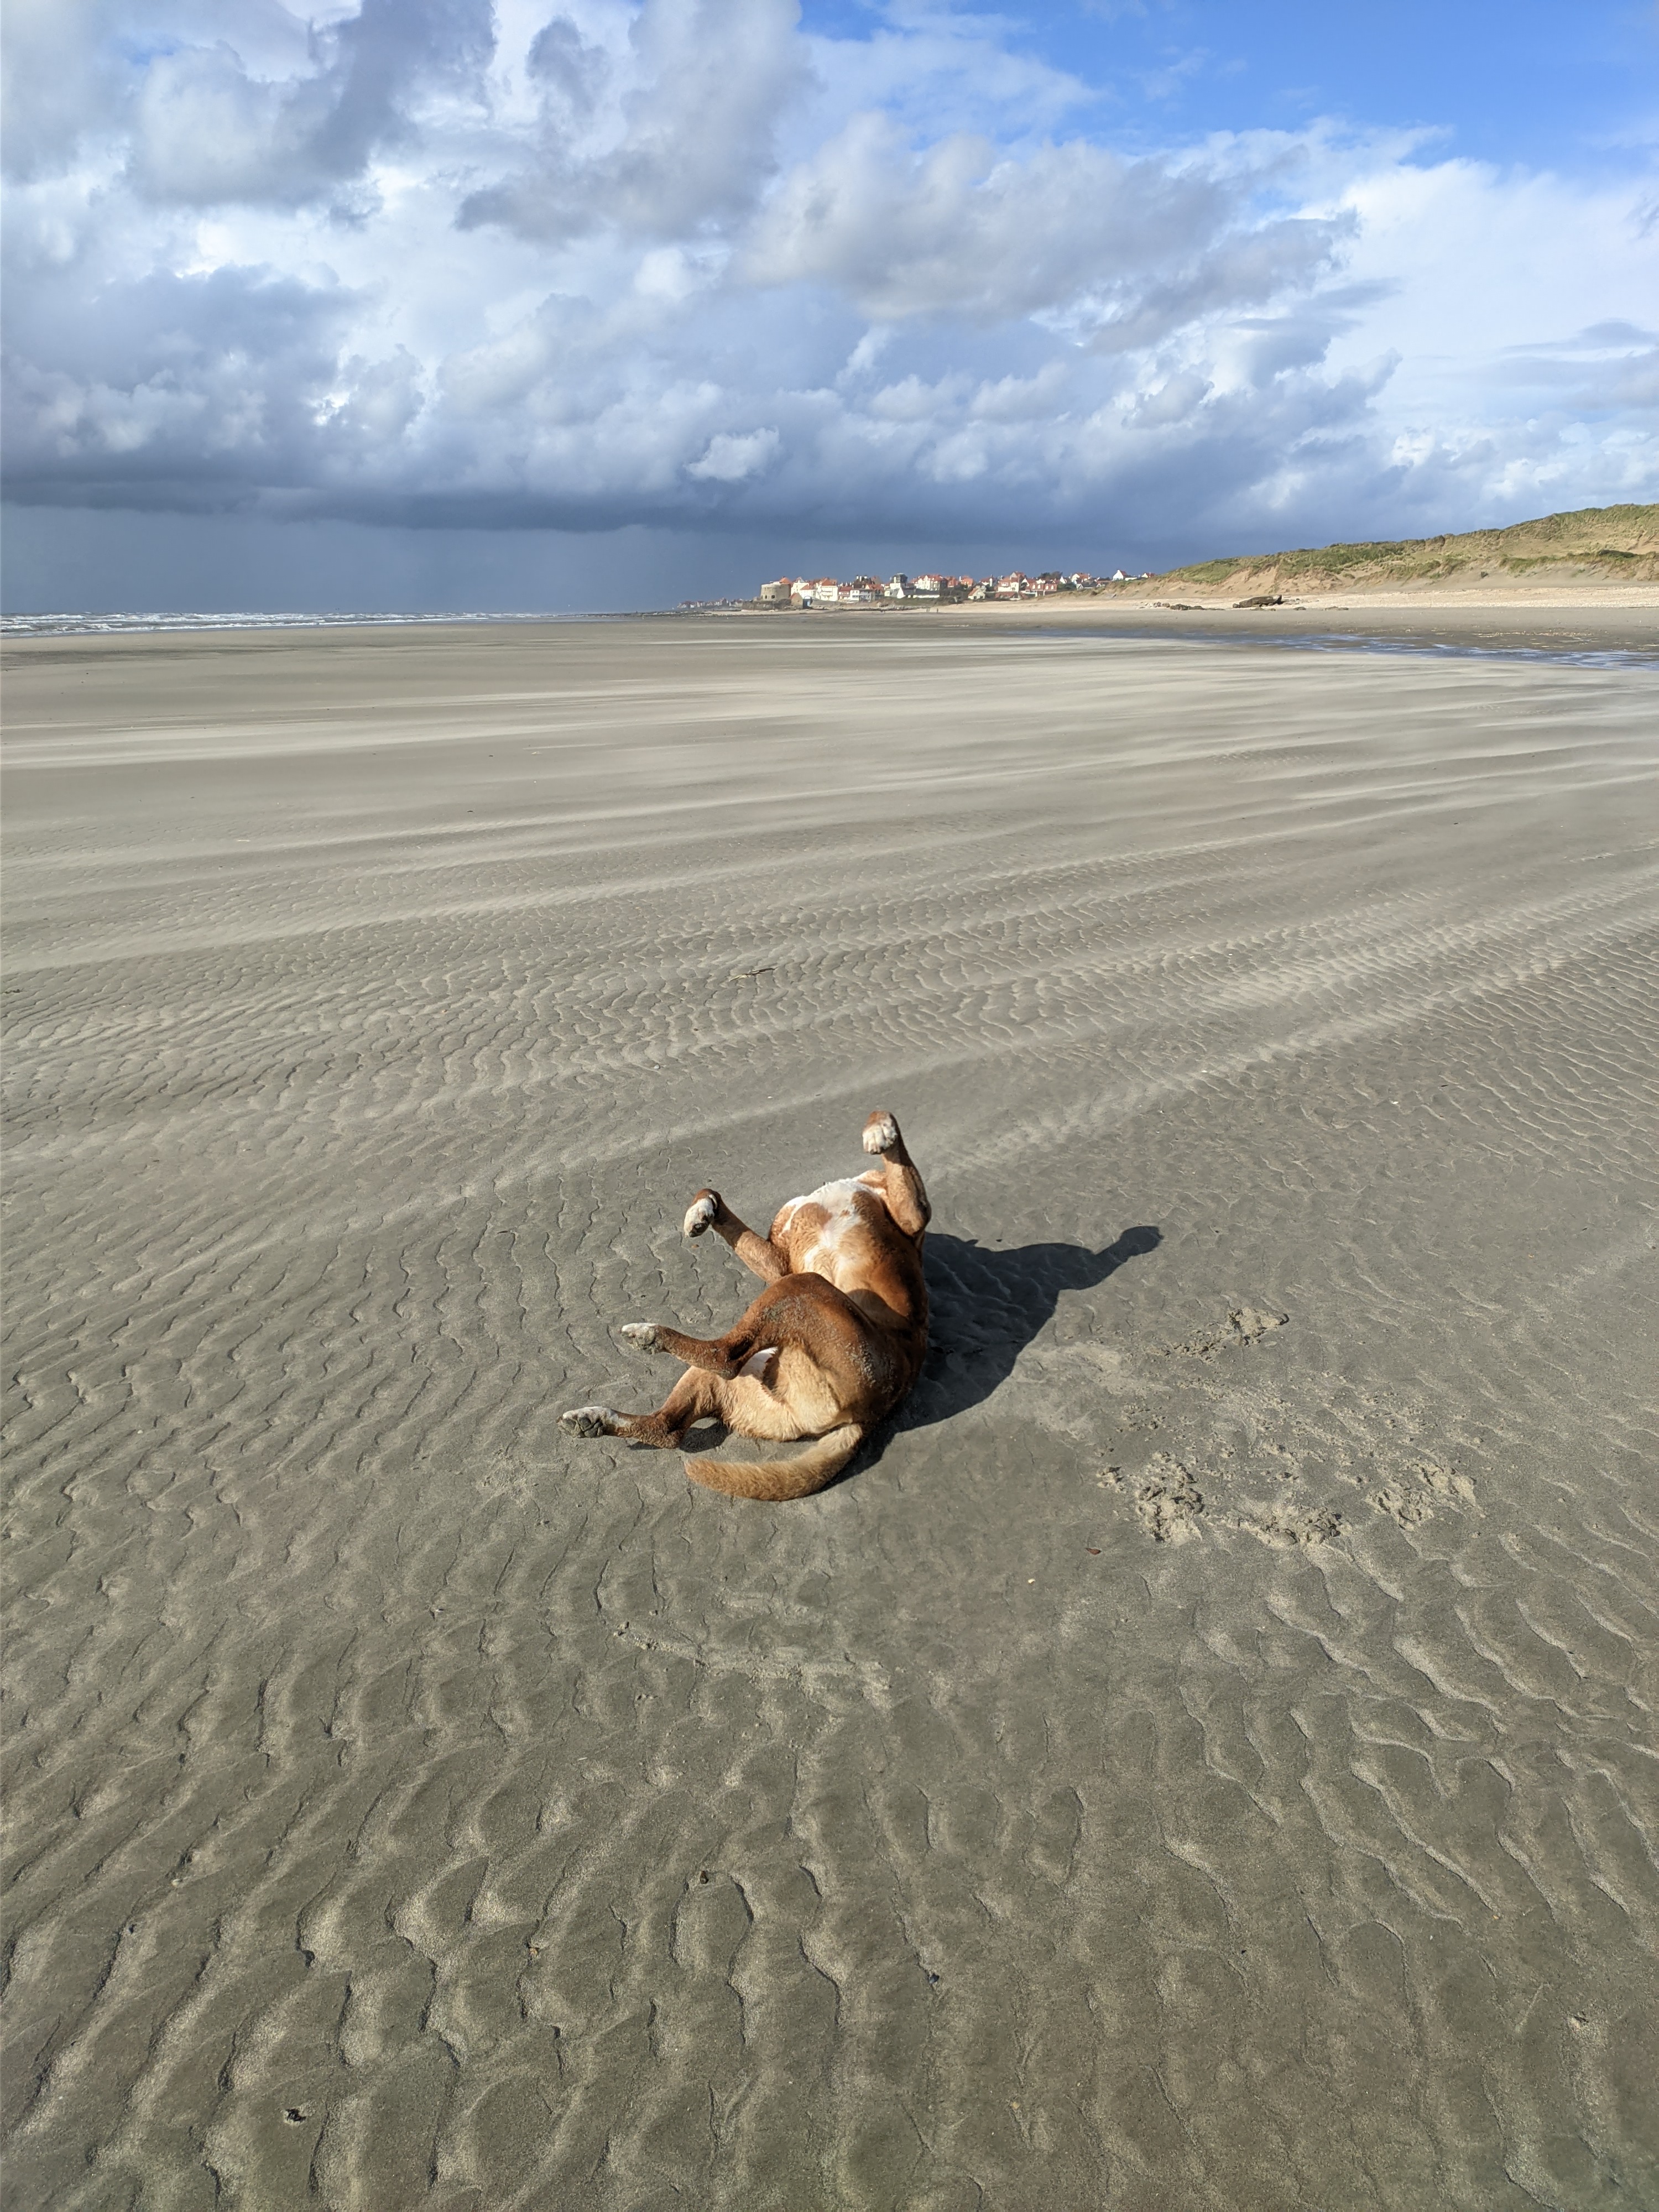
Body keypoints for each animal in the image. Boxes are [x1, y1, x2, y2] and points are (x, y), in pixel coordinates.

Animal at [561, 1109, 930, 1500]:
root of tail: (867, 1419)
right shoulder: (778, 1262)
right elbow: (712, 1193)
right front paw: (702, 1211)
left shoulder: (912, 1216)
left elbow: (886, 1123)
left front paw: (880, 1130)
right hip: (749, 1364)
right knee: (670, 1427)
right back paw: (595, 1418)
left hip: (803, 1289)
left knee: (725, 1358)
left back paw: (650, 1337)